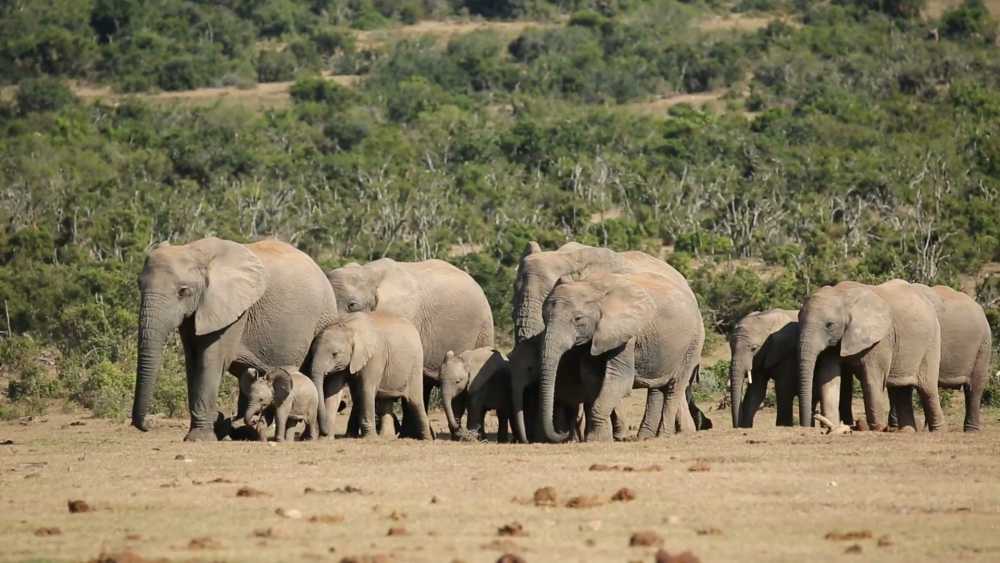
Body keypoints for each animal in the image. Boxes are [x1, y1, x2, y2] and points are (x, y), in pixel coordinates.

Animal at [132, 237, 338, 442]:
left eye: (183, 291)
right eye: (139, 285)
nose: (148, 424)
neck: (195, 251)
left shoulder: (234, 312)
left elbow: (210, 362)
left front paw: (199, 438)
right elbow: (193, 361)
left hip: (322, 318)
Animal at [309, 311, 431, 440]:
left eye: (335, 354)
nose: (324, 432)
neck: (349, 326)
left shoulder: (375, 356)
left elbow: (366, 389)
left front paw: (371, 438)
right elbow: (333, 391)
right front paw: (325, 439)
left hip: (416, 365)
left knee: (415, 401)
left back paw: (427, 439)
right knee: (383, 400)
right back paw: (385, 437)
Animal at [510, 241, 710, 443]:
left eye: (547, 291)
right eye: (514, 295)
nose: (562, 433)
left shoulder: (625, 331)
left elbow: (617, 378)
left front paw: (598, 437)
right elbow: (591, 378)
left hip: (694, 341)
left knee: (674, 387)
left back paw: (671, 434)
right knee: (657, 388)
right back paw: (645, 436)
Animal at [797, 280, 945, 432]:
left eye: (829, 325)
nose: (810, 420)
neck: (841, 294)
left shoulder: (881, 339)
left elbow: (871, 379)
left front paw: (878, 428)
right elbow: (828, 378)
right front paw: (832, 424)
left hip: (932, 342)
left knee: (927, 389)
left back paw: (937, 431)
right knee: (901, 391)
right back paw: (907, 432)